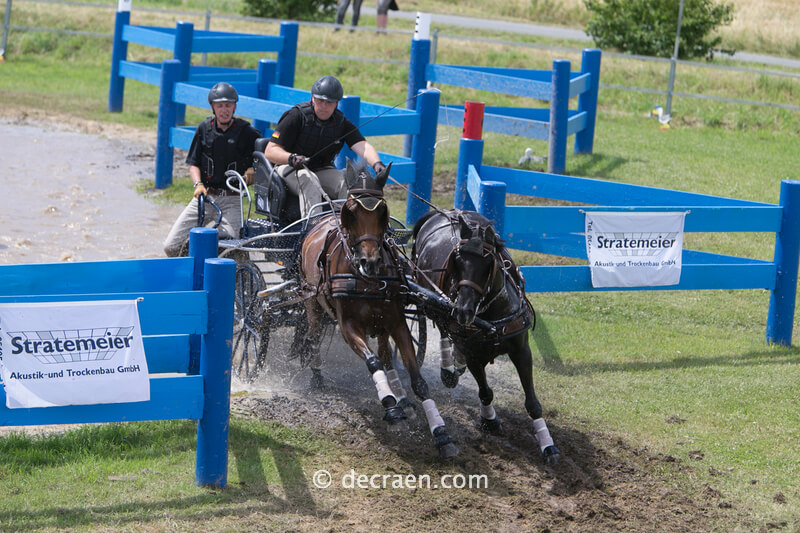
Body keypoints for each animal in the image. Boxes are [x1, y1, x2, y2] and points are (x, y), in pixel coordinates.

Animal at [297, 160, 459, 459]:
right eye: (350, 213)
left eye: (383, 212)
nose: (369, 261)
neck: (367, 280)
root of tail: (321, 219)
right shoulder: (349, 326)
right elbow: (372, 362)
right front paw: (390, 407)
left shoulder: (396, 323)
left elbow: (417, 379)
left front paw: (440, 433)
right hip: (311, 301)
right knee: (313, 336)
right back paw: (317, 377)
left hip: (381, 323)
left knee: (385, 353)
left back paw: (402, 398)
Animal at [411, 209, 560, 465]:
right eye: (457, 261)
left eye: (488, 263)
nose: (463, 310)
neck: (490, 318)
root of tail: (448, 212)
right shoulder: (473, 354)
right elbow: (485, 391)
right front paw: (489, 420)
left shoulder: (522, 351)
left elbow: (532, 403)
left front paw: (547, 445)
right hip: (433, 304)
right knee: (442, 329)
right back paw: (448, 368)